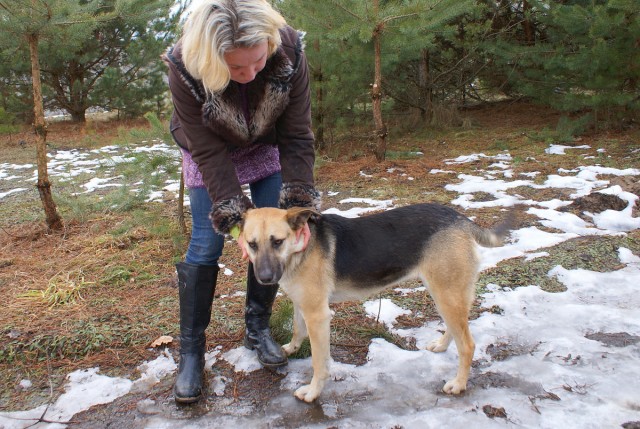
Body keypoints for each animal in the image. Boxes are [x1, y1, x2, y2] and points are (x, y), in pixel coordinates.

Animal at [238, 203, 512, 402]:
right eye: (252, 244)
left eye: (277, 242)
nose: (264, 279)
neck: (300, 249)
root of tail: (459, 218)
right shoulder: (301, 304)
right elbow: (297, 329)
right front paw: (290, 348)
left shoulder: (318, 315)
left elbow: (319, 362)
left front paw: (313, 392)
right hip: (443, 293)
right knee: (456, 330)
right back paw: (442, 345)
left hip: (447, 294)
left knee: (467, 344)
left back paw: (458, 384)